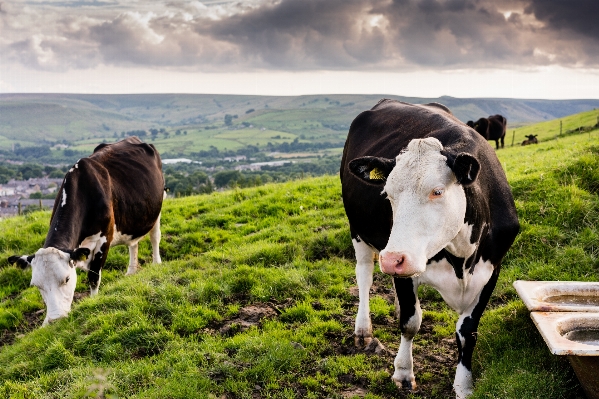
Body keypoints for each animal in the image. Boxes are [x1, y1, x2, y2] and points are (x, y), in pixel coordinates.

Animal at [7, 139, 166, 326]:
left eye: (67, 279)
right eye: (37, 286)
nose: (55, 319)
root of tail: (134, 139)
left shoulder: (104, 238)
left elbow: (94, 276)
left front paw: (93, 302)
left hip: (158, 206)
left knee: (155, 236)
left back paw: (156, 263)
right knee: (133, 243)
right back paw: (131, 271)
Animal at [342, 101, 520, 399]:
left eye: (437, 191)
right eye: (388, 194)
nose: (392, 259)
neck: (462, 257)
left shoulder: (493, 269)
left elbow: (467, 331)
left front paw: (464, 384)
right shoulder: (405, 268)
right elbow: (410, 321)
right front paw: (403, 373)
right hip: (358, 231)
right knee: (364, 276)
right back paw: (363, 329)